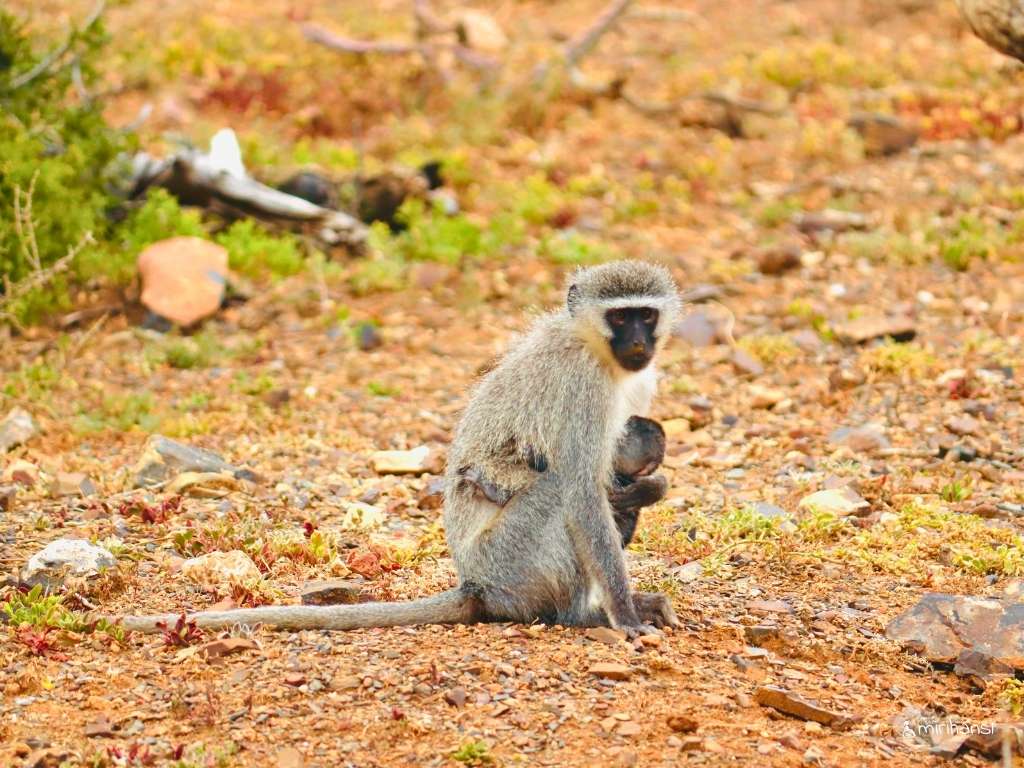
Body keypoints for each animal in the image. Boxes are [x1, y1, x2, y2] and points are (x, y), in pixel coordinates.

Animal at [115, 260, 682, 636]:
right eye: (620, 317)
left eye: (646, 316)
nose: (638, 343)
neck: (596, 350)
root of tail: (475, 585)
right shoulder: (582, 389)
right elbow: (584, 493)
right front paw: (626, 615)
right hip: (509, 563)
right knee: (558, 492)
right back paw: (583, 615)